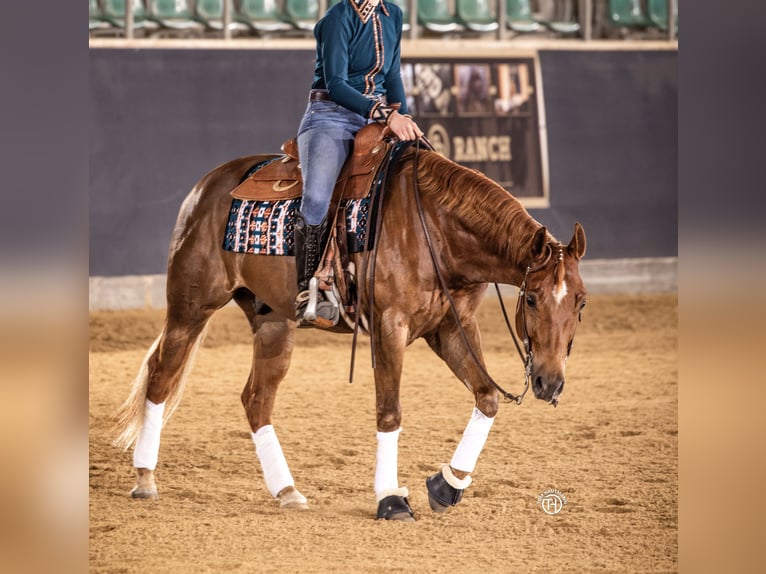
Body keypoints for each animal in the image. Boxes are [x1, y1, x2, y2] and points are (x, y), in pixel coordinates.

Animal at [113, 143, 587, 521]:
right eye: (532, 299)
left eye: (580, 302)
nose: (549, 382)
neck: (435, 228)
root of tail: (206, 187)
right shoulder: (390, 327)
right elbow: (389, 412)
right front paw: (391, 499)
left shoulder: (451, 327)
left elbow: (487, 397)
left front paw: (446, 485)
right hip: (191, 308)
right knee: (161, 377)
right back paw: (145, 478)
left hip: (272, 322)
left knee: (256, 399)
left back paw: (286, 490)